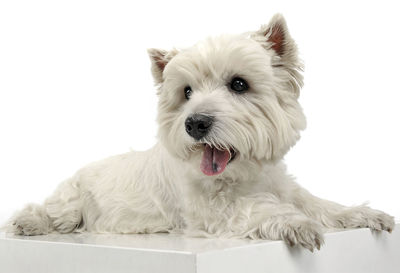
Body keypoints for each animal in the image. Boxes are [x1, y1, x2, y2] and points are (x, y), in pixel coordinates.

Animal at [5, 13, 394, 250]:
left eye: (239, 84)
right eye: (187, 92)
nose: (195, 123)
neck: (243, 175)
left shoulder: (283, 186)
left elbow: (319, 203)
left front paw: (367, 215)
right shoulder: (213, 213)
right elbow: (260, 209)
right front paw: (299, 225)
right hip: (72, 199)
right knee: (52, 211)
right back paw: (26, 223)